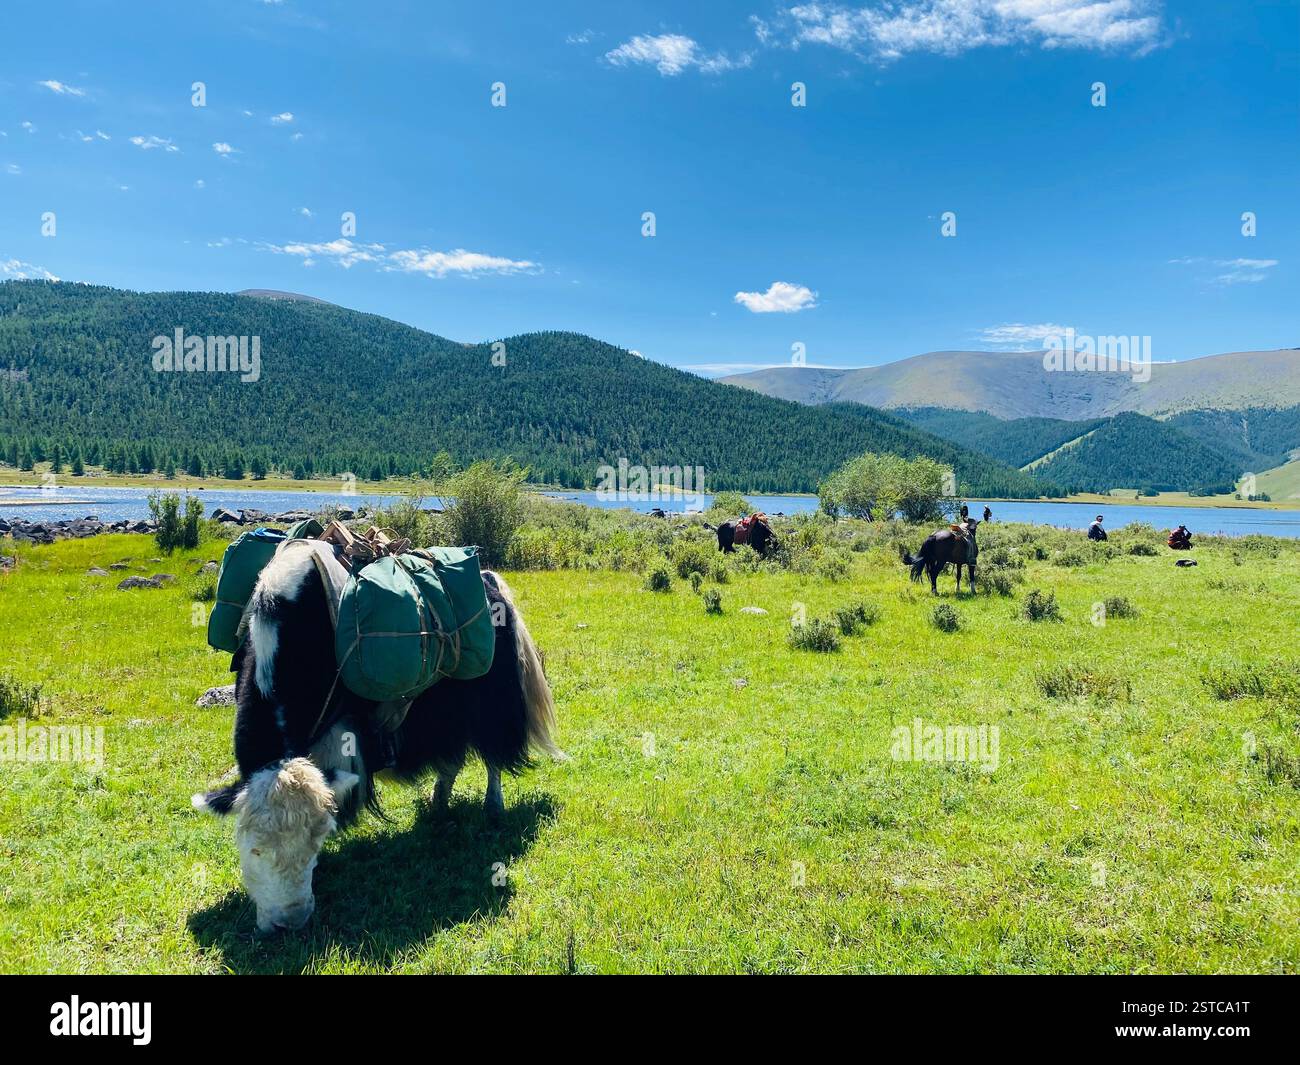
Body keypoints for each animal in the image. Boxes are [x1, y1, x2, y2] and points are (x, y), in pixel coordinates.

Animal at [191, 545, 563, 934]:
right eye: (254, 849)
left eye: (315, 843)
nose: (289, 923)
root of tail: (491, 581)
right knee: (452, 758)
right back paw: (437, 804)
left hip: (491, 700)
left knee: (492, 755)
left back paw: (492, 808)